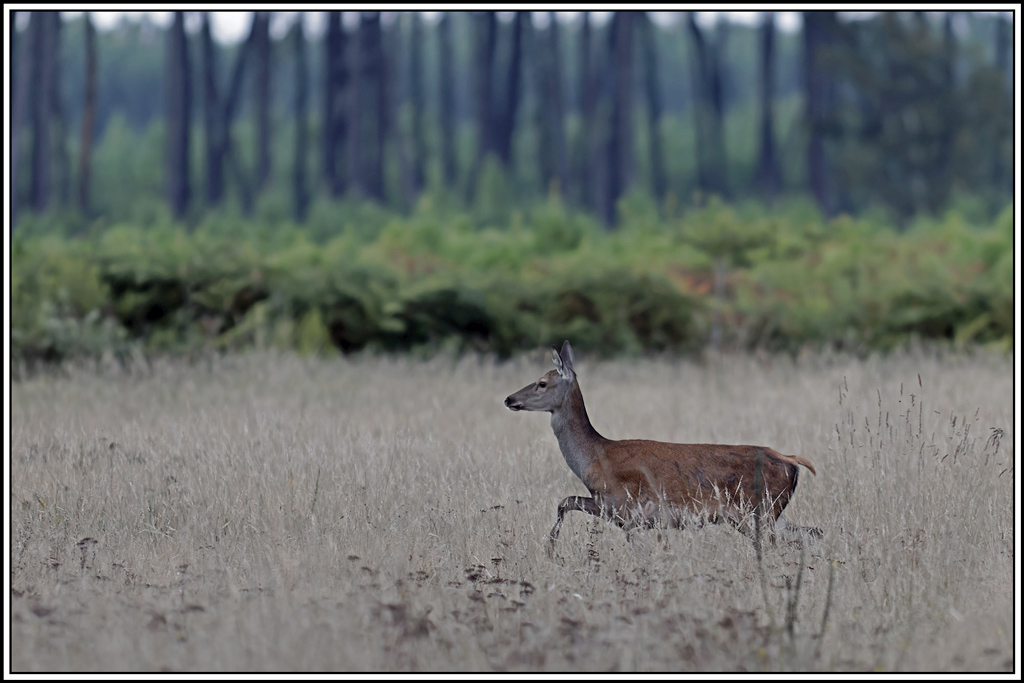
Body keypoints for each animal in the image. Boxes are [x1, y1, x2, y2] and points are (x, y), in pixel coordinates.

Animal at [504, 341, 820, 549]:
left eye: (542, 383)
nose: (509, 398)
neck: (592, 457)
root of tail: (791, 461)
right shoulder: (610, 507)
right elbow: (566, 500)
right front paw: (551, 545)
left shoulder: (627, 510)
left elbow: (565, 503)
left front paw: (551, 546)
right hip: (771, 513)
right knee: (813, 533)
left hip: (758, 512)